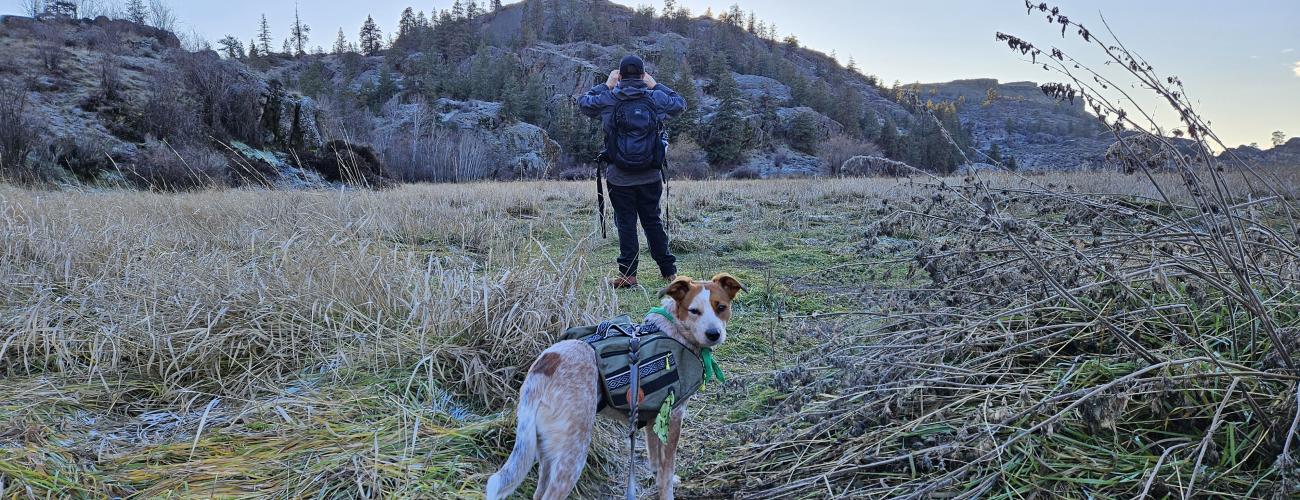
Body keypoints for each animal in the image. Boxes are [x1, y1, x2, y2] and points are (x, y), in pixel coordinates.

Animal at [488, 272, 748, 498]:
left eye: (721, 307)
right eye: (694, 310)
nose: (714, 334)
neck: (675, 329)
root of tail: (544, 365)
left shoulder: (654, 417)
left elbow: (656, 460)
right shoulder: (674, 416)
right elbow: (667, 468)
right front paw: (667, 491)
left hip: (545, 450)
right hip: (572, 454)